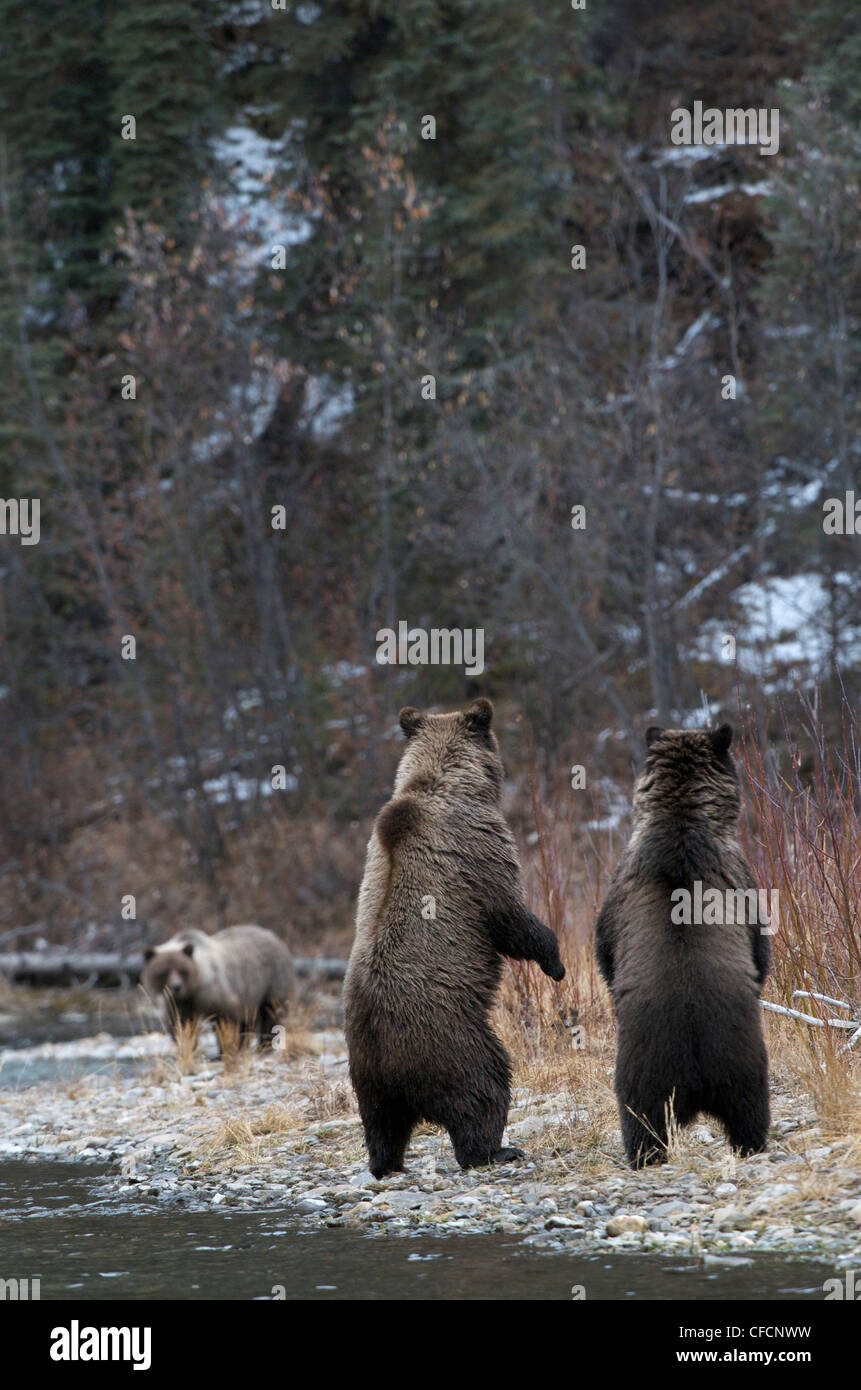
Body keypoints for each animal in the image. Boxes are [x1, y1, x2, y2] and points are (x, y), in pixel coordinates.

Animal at [142, 925, 294, 1053]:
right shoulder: (175, 1002)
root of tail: (274, 936)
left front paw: (226, 1047)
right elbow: (181, 1023)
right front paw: (187, 1047)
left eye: (182, 970)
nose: (176, 987)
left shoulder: (212, 991)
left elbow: (225, 1018)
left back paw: (264, 1044)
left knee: (270, 1010)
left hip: (272, 978)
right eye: (164, 972)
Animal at [344, 698, 565, 1179]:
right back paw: (495, 1149)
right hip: (450, 1036)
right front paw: (555, 962)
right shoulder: (479, 855)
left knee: (382, 1123)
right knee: (483, 1086)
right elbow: (510, 918)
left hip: (365, 1070)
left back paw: (385, 1162)